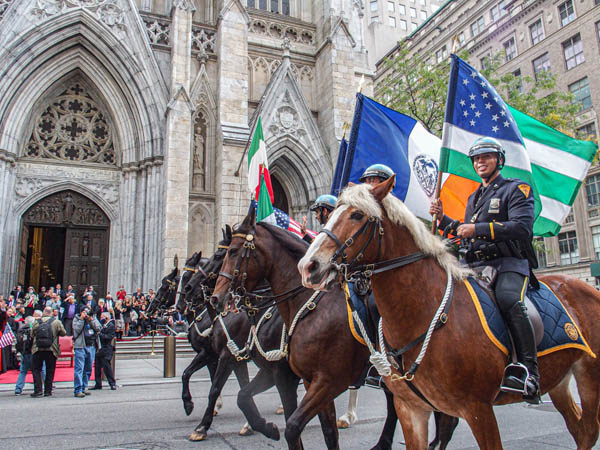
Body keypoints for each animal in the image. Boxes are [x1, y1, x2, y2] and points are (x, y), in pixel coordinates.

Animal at [210, 211, 459, 450]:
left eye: (231, 252)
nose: (215, 298)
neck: (310, 305)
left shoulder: (325, 381)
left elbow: (292, 426)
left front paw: (268, 428)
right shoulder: (306, 380)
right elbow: (327, 432)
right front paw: (264, 426)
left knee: (448, 420)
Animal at [298, 175, 600, 449]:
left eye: (358, 214)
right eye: (330, 215)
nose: (308, 266)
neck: (422, 313)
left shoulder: (478, 409)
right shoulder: (412, 409)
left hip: (588, 376)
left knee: (588, 430)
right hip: (559, 379)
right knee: (580, 430)